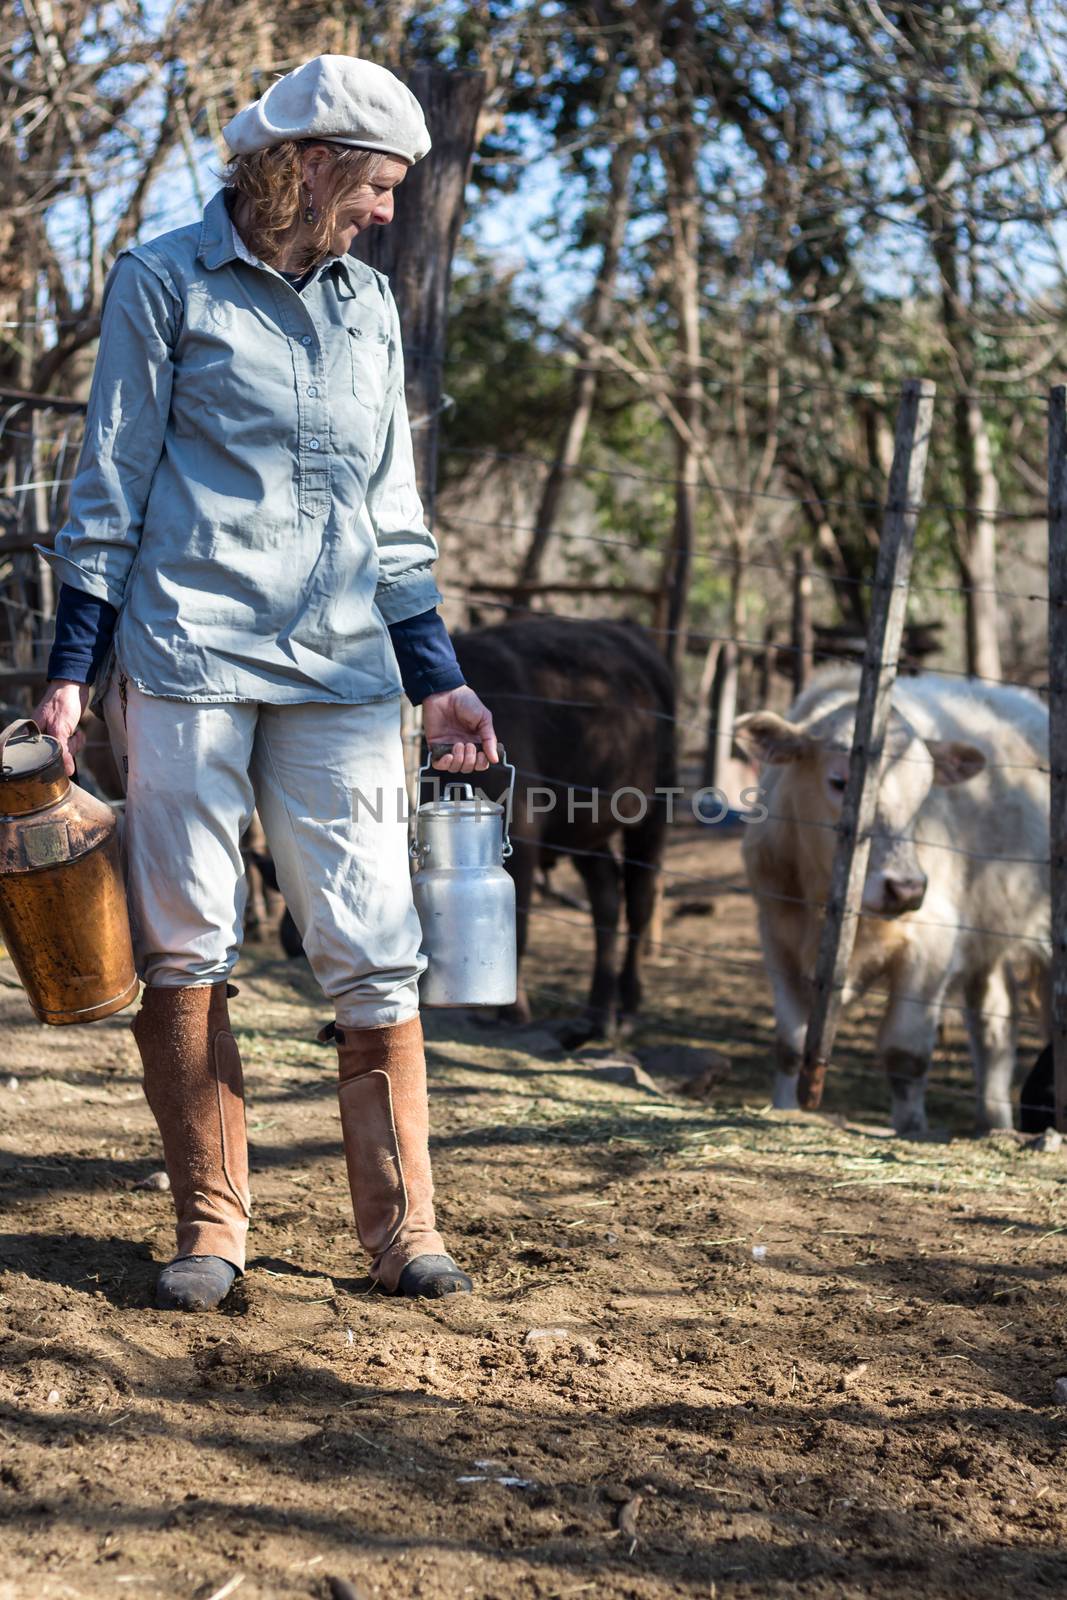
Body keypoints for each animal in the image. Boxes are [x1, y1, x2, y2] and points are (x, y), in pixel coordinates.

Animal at [735, 665, 1049, 1139]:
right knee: (995, 1024)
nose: (906, 888)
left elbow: (905, 1053)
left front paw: (911, 1128)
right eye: (840, 782)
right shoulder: (776, 933)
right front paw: (785, 1109)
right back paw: (993, 1123)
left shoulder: (933, 944)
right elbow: (790, 1043)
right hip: (986, 939)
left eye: (924, 791)